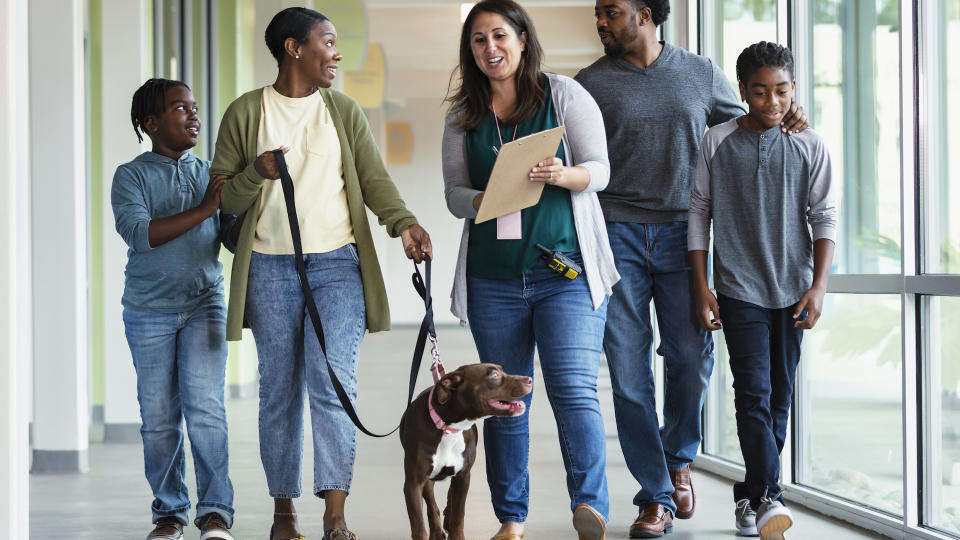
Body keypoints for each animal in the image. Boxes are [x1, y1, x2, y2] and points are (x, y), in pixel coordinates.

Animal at [398, 362, 532, 540]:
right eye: (494, 375)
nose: (529, 379)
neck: (448, 428)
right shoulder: (413, 483)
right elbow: (419, 526)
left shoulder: (463, 476)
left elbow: (458, 516)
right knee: (431, 501)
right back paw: (437, 530)